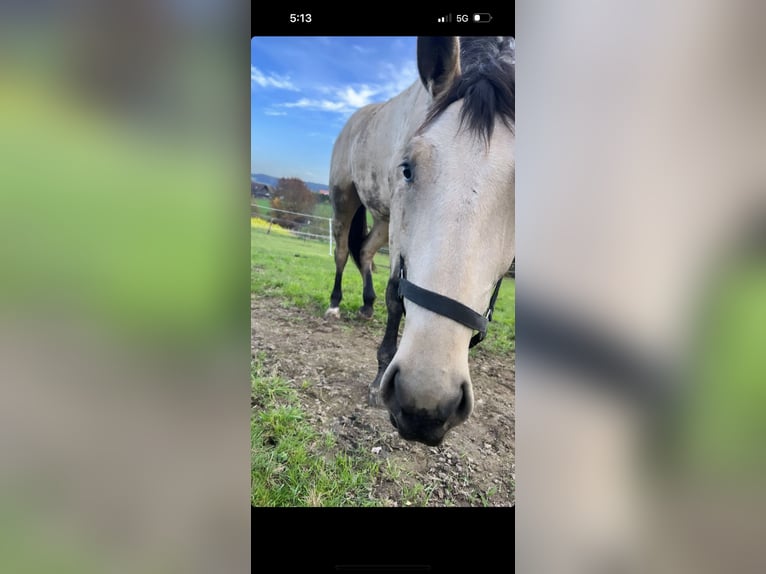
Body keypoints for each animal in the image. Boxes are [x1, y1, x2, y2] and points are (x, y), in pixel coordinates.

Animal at [325, 36, 515, 446]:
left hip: (384, 219)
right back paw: (334, 304)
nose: (425, 403)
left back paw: (365, 306)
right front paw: (378, 377)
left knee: (365, 252)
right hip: (345, 199)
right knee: (343, 252)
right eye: (408, 168)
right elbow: (396, 297)